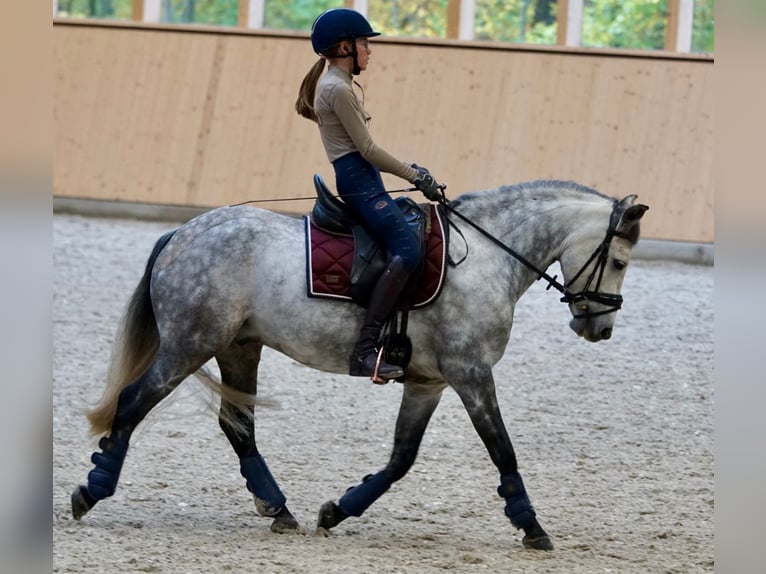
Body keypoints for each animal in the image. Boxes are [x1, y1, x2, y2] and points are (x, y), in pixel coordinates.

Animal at [70, 179, 648, 551]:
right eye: (619, 261)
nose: (600, 329)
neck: (485, 257)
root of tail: (183, 233)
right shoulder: (471, 374)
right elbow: (502, 448)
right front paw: (531, 527)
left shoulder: (429, 383)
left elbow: (400, 459)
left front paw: (338, 510)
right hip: (190, 344)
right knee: (133, 402)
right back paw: (91, 491)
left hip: (237, 346)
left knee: (238, 426)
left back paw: (279, 509)